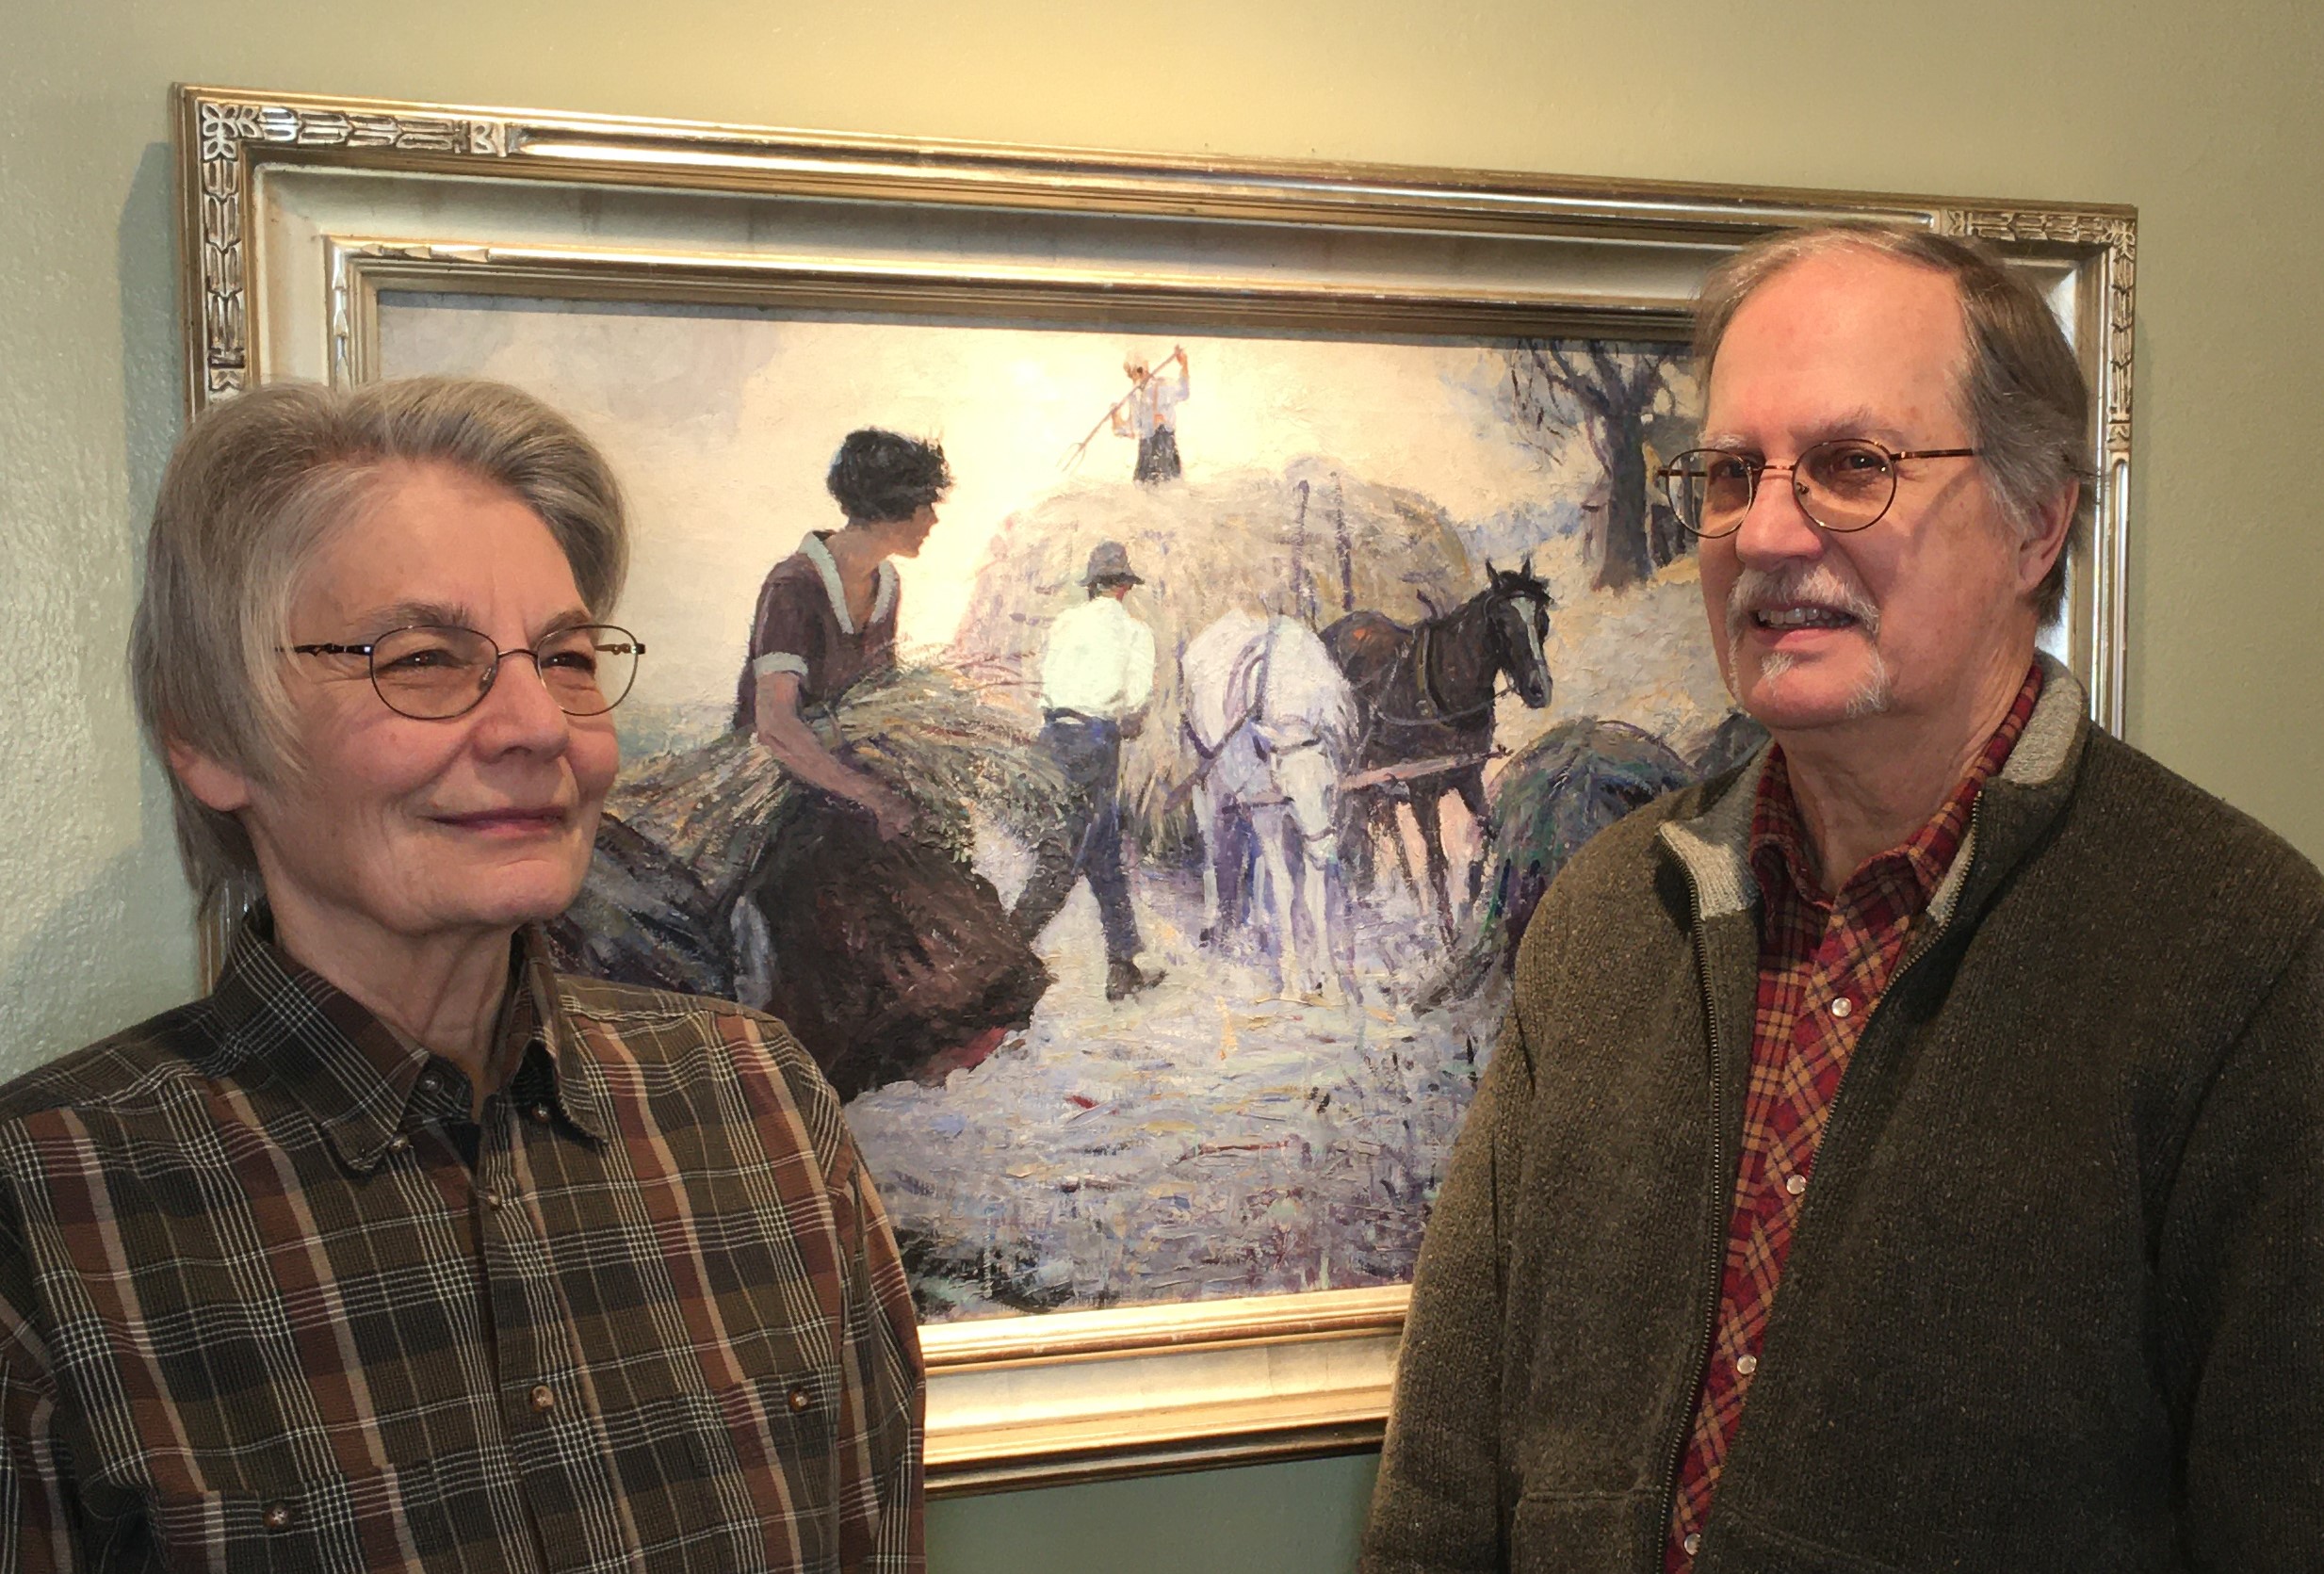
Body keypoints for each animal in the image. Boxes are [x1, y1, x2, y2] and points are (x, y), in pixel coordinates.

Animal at [1180, 609, 1357, 995]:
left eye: (1328, 789)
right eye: (1289, 794)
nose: (1326, 853)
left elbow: (1314, 895)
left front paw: (1328, 978)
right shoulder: (1269, 810)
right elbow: (1286, 887)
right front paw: (1292, 978)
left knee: (1254, 852)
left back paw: (1260, 925)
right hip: (1208, 785)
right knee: (1211, 845)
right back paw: (1212, 923)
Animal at [1320, 558, 1552, 934]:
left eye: (1542, 618)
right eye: (1502, 622)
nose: (1539, 689)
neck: (1445, 689)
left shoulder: (1469, 777)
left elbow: (1490, 834)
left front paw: (1474, 905)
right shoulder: (1422, 793)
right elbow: (1436, 863)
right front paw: (1448, 936)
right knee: (1359, 836)